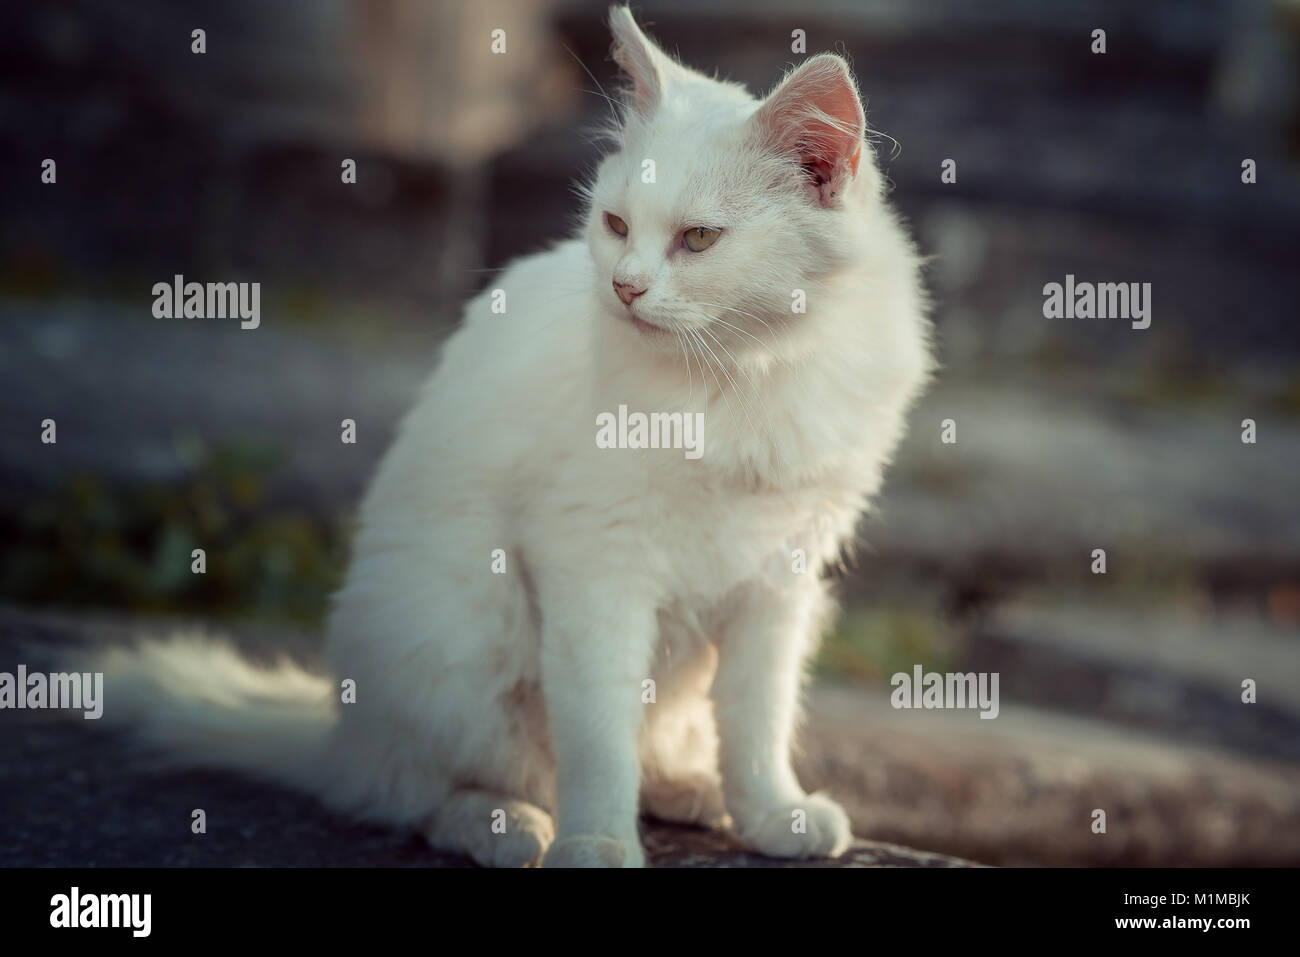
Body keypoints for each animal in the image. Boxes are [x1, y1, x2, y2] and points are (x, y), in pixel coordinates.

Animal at [98, 7, 935, 868]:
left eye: (699, 239)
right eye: (616, 224)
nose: (624, 287)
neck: (744, 374)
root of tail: (338, 736)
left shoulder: (780, 577)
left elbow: (758, 718)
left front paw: (771, 811)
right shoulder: (597, 569)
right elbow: (599, 738)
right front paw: (597, 839)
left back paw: (689, 790)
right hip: (464, 624)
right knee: (415, 791)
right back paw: (508, 823)